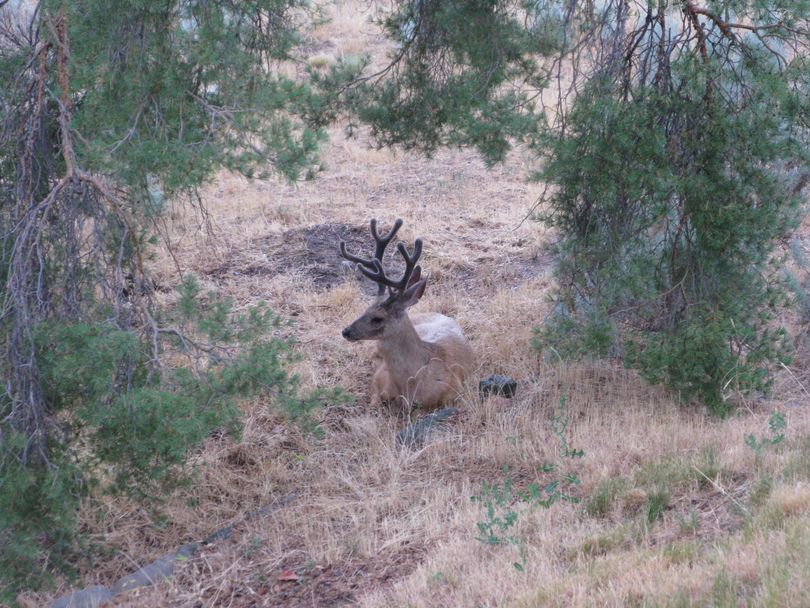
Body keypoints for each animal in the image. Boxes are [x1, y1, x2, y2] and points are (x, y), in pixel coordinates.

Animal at [336, 216, 474, 416]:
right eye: (366, 308)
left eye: (378, 318)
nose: (346, 331)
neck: (409, 386)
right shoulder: (378, 379)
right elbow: (374, 402)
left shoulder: (454, 391)